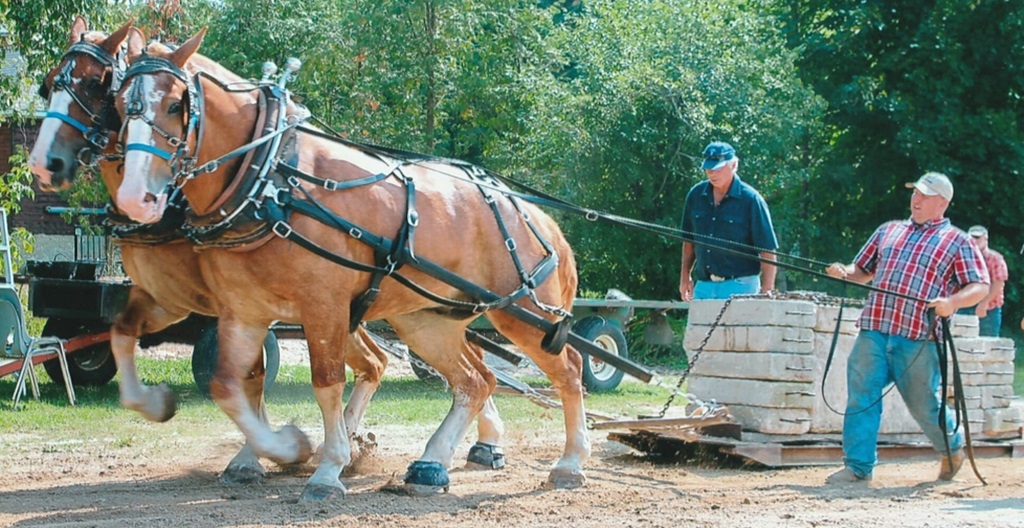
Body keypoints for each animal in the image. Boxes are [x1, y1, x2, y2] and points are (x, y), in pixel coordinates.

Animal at [28, 17, 511, 484]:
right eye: (48, 84)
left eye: (98, 84)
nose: (43, 164)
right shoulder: (180, 300)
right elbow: (126, 337)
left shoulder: (232, 308)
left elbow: (251, 379)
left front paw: (276, 451)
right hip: (404, 312)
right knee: (439, 367)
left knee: (456, 367)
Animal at [109, 28, 589, 500]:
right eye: (118, 104)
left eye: (175, 104)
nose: (136, 198)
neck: (273, 182)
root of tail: (539, 219)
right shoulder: (243, 312)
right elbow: (227, 386)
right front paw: (285, 448)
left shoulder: (324, 307)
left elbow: (325, 384)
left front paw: (326, 468)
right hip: (426, 321)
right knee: (476, 380)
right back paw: (431, 463)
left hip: (522, 315)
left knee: (568, 368)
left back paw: (569, 463)